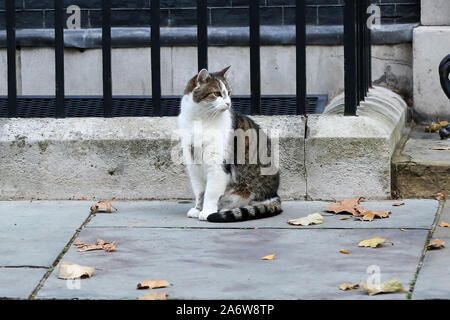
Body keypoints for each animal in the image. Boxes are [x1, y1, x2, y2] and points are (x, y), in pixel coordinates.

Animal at [178, 67, 282, 222]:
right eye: (217, 93)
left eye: (229, 93)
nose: (228, 103)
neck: (200, 120)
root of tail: (274, 196)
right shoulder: (194, 167)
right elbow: (200, 192)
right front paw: (198, 209)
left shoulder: (218, 166)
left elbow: (210, 193)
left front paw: (207, 211)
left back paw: (224, 210)